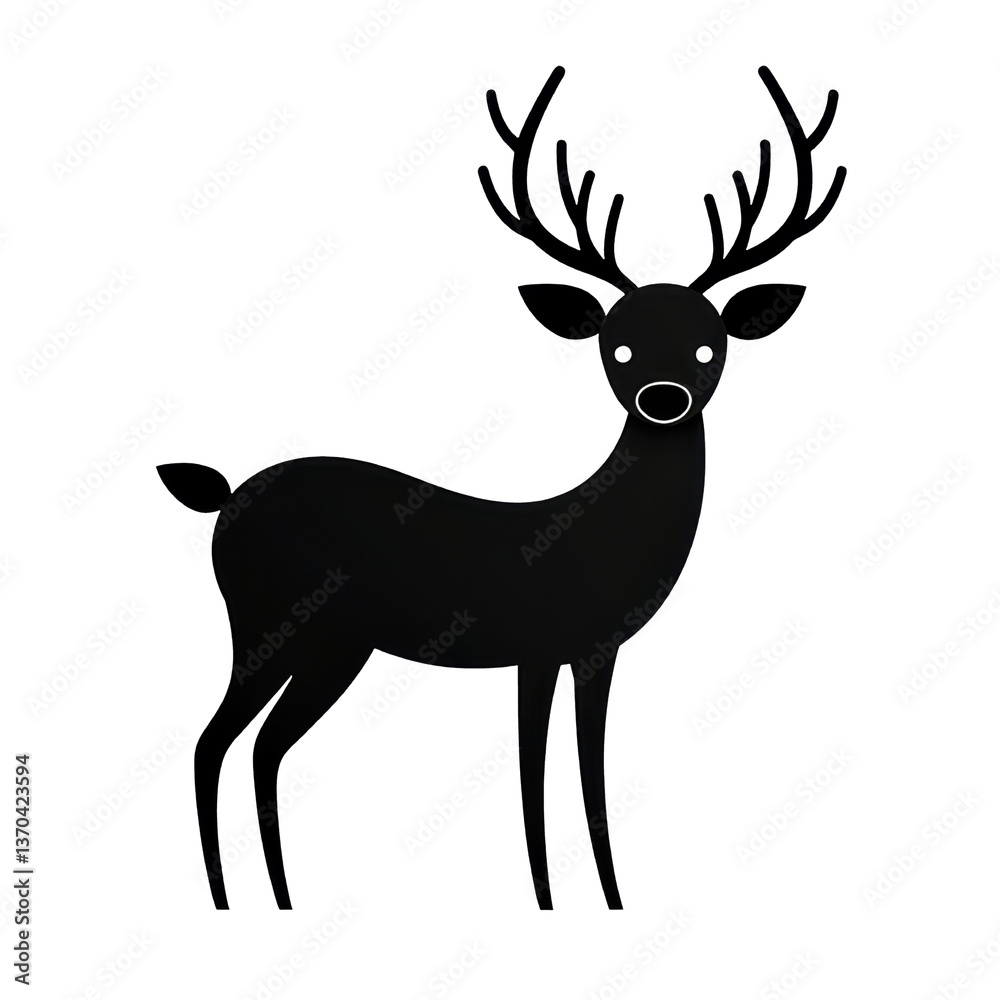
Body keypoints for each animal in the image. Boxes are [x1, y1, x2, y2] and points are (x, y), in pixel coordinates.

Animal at [159, 65, 845, 911]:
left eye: (708, 347)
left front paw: (607, 896)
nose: (664, 398)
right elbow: (534, 779)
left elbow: (584, 773)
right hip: (271, 622)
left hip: (324, 643)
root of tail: (222, 497)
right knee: (214, 742)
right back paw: (234, 897)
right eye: (617, 347)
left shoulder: (593, 649)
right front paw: (556, 899)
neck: (599, 533)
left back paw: (274, 897)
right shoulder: (539, 646)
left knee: (258, 748)